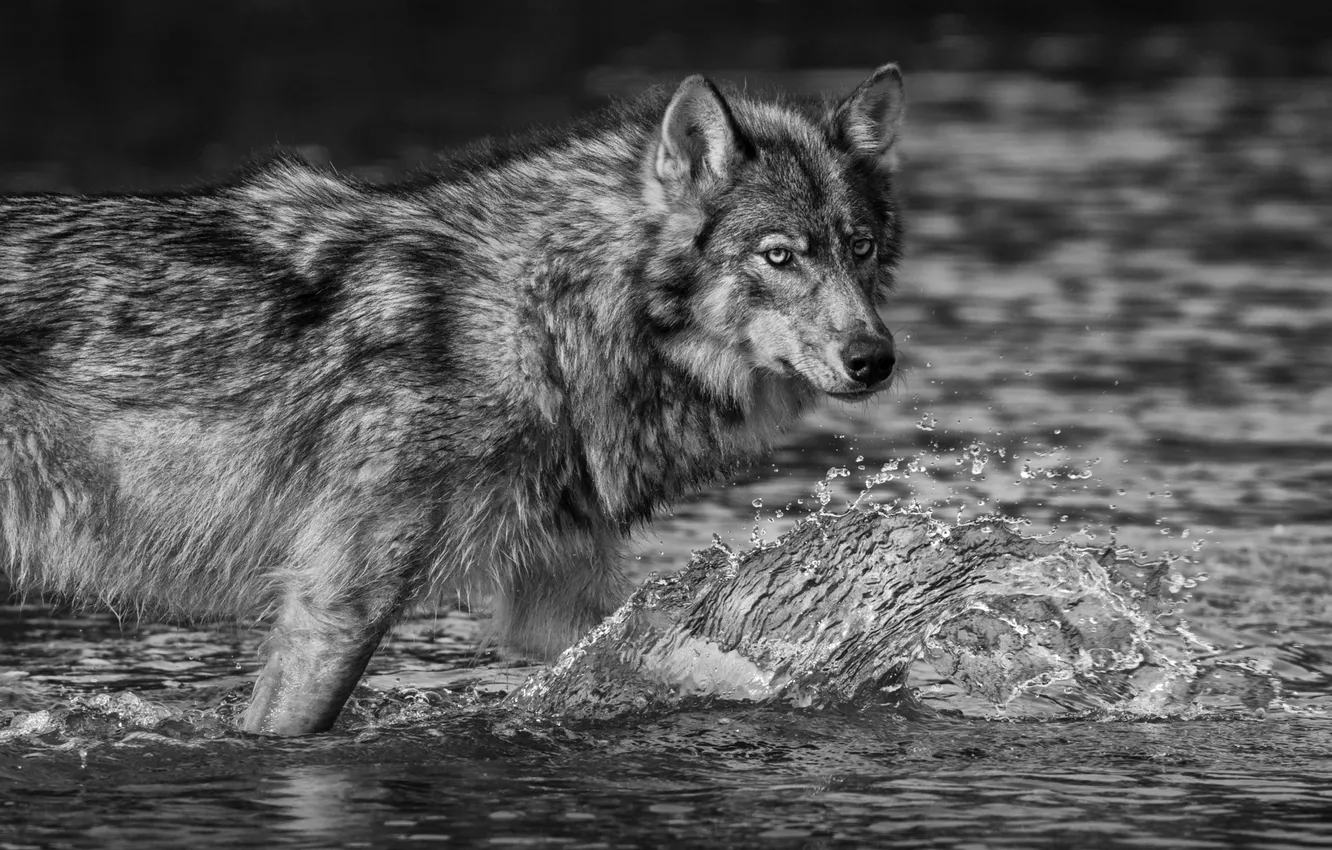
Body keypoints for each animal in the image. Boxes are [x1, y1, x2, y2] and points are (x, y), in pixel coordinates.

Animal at [0, 64, 905, 735]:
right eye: (780, 255)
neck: (540, 319)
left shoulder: (555, 600)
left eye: (859, 248)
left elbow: (724, 666)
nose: (876, 360)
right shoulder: (338, 604)